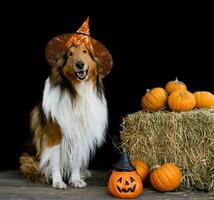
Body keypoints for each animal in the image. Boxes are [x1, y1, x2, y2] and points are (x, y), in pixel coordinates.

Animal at [19, 17, 112, 189]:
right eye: (70, 54)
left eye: (85, 52)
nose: (80, 64)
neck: (77, 91)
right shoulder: (55, 132)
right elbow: (55, 160)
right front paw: (57, 181)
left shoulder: (81, 131)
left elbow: (76, 159)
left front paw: (76, 179)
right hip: (26, 157)